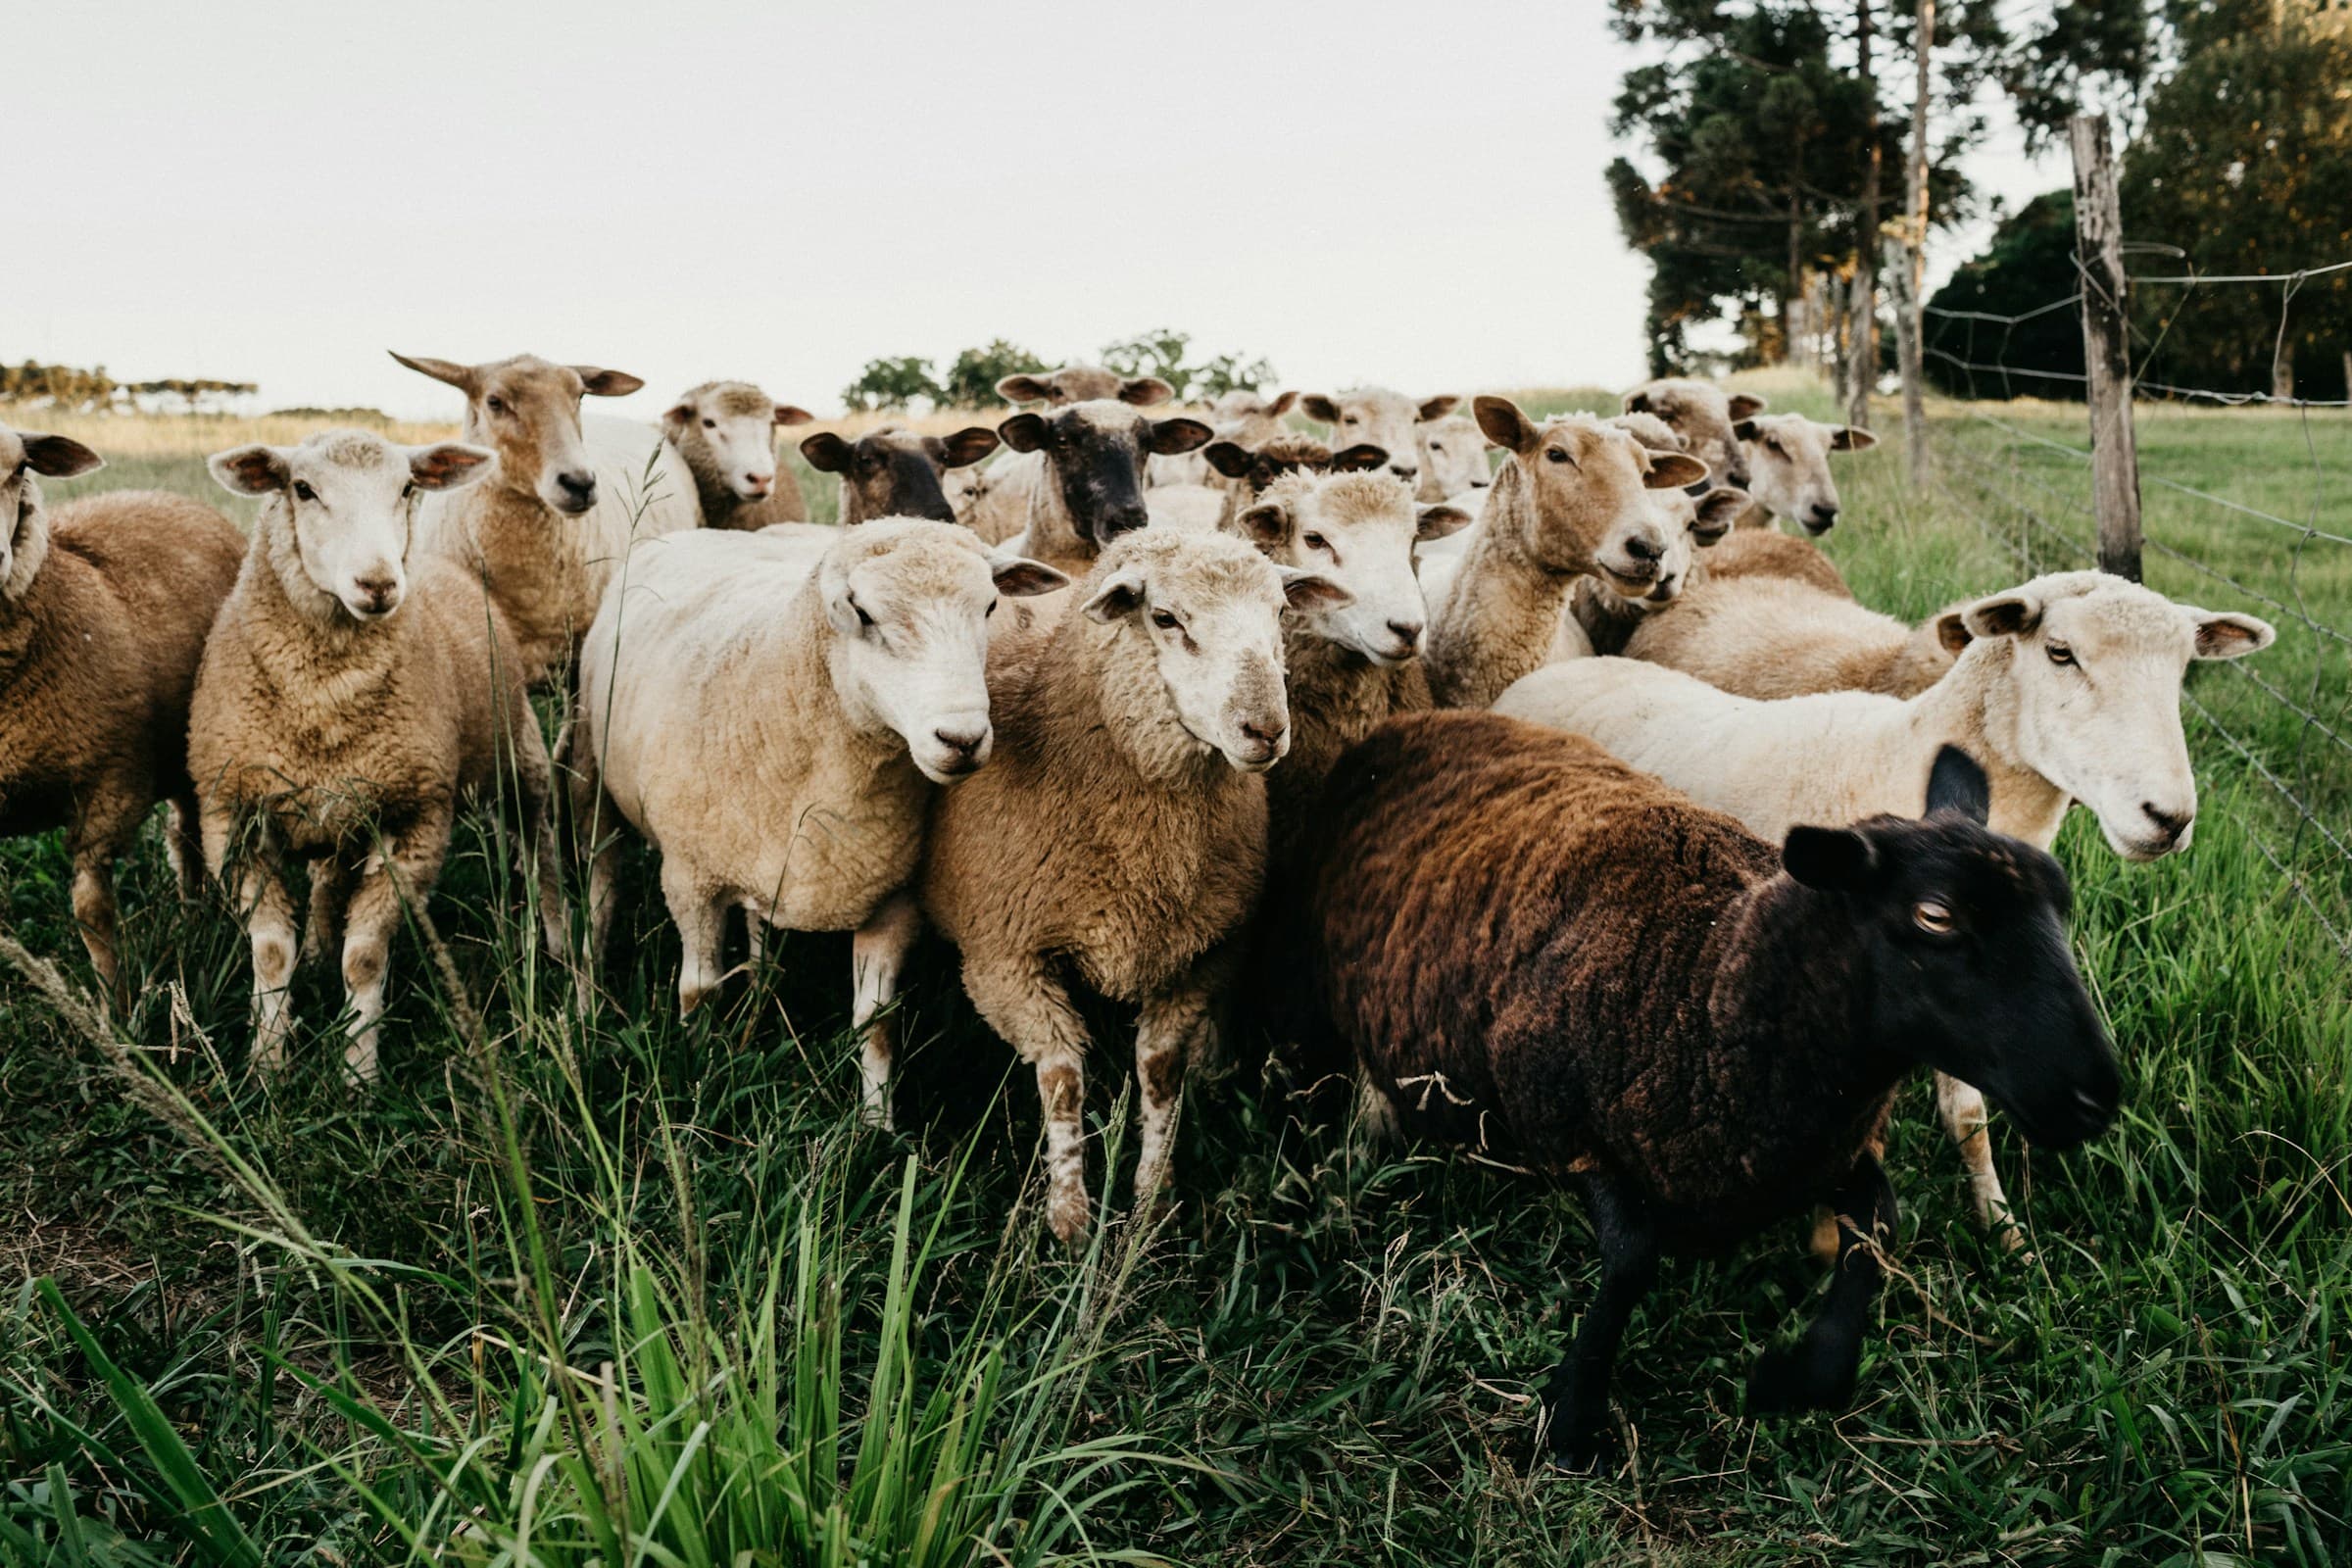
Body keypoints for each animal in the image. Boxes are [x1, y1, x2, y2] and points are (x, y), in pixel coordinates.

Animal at [0, 426, 245, 1007]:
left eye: (20, 469)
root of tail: (171, 497)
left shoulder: (109, 784)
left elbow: (93, 912)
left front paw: (118, 1008)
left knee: (187, 838)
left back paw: (197, 919)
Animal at [193, 431, 568, 1079]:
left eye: (408, 487)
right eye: (302, 488)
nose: (378, 584)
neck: (324, 700)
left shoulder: (414, 818)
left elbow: (365, 958)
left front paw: (358, 1073)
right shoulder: (234, 815)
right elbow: (270, 952)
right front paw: (268, 1064)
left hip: (521, 753)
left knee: (540, 842)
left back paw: (562, 947)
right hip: (343, 808)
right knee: (327, 884)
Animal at [572, 520, 1066, 1125]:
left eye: (992, 605)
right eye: (863, 613)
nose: (962, 739)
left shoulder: (889, 897)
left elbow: (876, 1023)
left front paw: (875, 1127)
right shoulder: (690, 878)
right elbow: (699, 991)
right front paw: (696, 1082)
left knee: (760, 927)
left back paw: (760, 992)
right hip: (591, 775)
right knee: (600, 890)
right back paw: (589, 996)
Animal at [918, 528, 1349, 1242]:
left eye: (1280, 614)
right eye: (1166, 618)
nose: (1265, 730)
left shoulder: (1204, 954)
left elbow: (1160, 1071)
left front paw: (1152, 1199)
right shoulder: (1006, 960)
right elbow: (1063, 1078)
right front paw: (1069, 1218)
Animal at [1301, 710, 2117, 1468]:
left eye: (2061, 902)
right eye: (1936, 916)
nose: (2096, 1097)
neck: (1709, 979)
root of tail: (1421, 719)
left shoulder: (1822, 1150)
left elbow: (1878, 1227)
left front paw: (1798, 1377)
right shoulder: (1563, 1126)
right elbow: (1633, 1257)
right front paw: (1572, 1421)